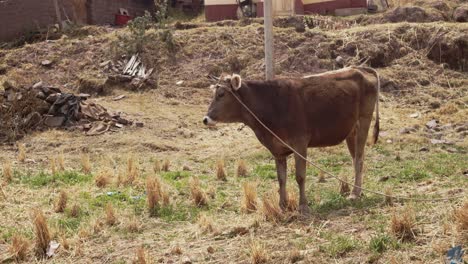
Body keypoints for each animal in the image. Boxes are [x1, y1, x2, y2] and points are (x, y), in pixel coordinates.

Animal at [203, 66, 378, 214]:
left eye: (221, 94)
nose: (205, 119)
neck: (271, 104)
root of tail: (360, 68)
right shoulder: (277, 150)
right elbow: (281, 178)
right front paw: (283, 204)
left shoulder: (300, 144)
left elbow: (300, 176)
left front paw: (303, 205)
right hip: (351, 132)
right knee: (356, 158)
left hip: (363, 121)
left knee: (359, 159)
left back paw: (355, 193)